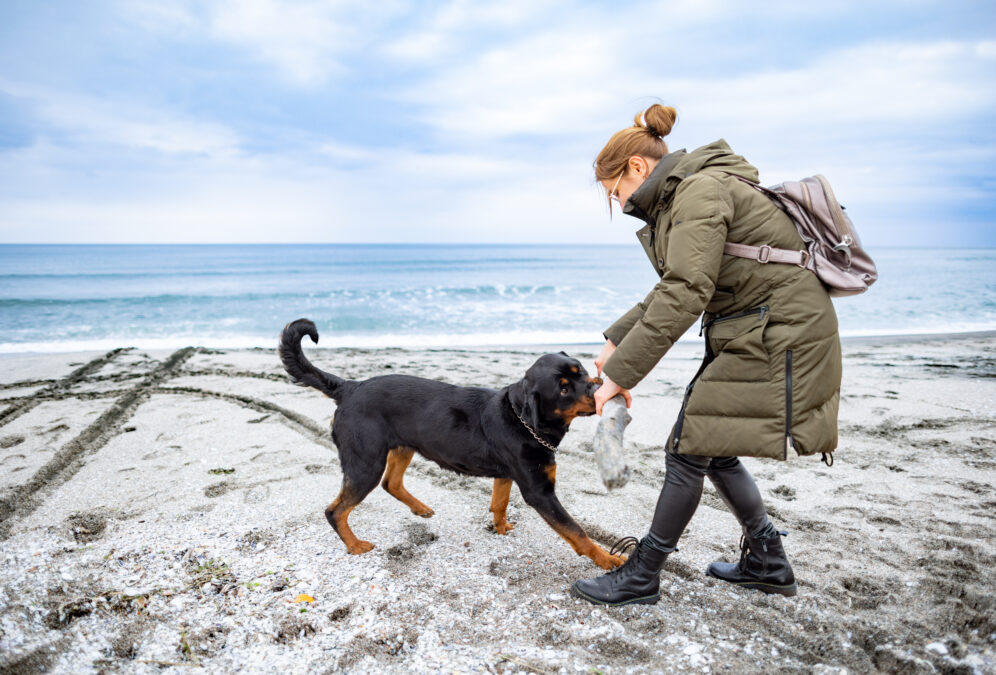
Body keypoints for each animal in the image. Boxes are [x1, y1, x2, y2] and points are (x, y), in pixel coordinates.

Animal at [278, 320, 624, 568]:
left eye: (581, 370)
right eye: (564, 390)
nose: (601, 388)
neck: (523, 419)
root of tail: (349, 387)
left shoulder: (505, 475)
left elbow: (499, 503)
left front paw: (500, 528)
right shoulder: (540, 492)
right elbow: (576, 531)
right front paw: (607, 559)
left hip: (402, 447)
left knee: (392, 483)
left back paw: (420, 508)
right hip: (366, 463)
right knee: (335, 510)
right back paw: (354, 545)